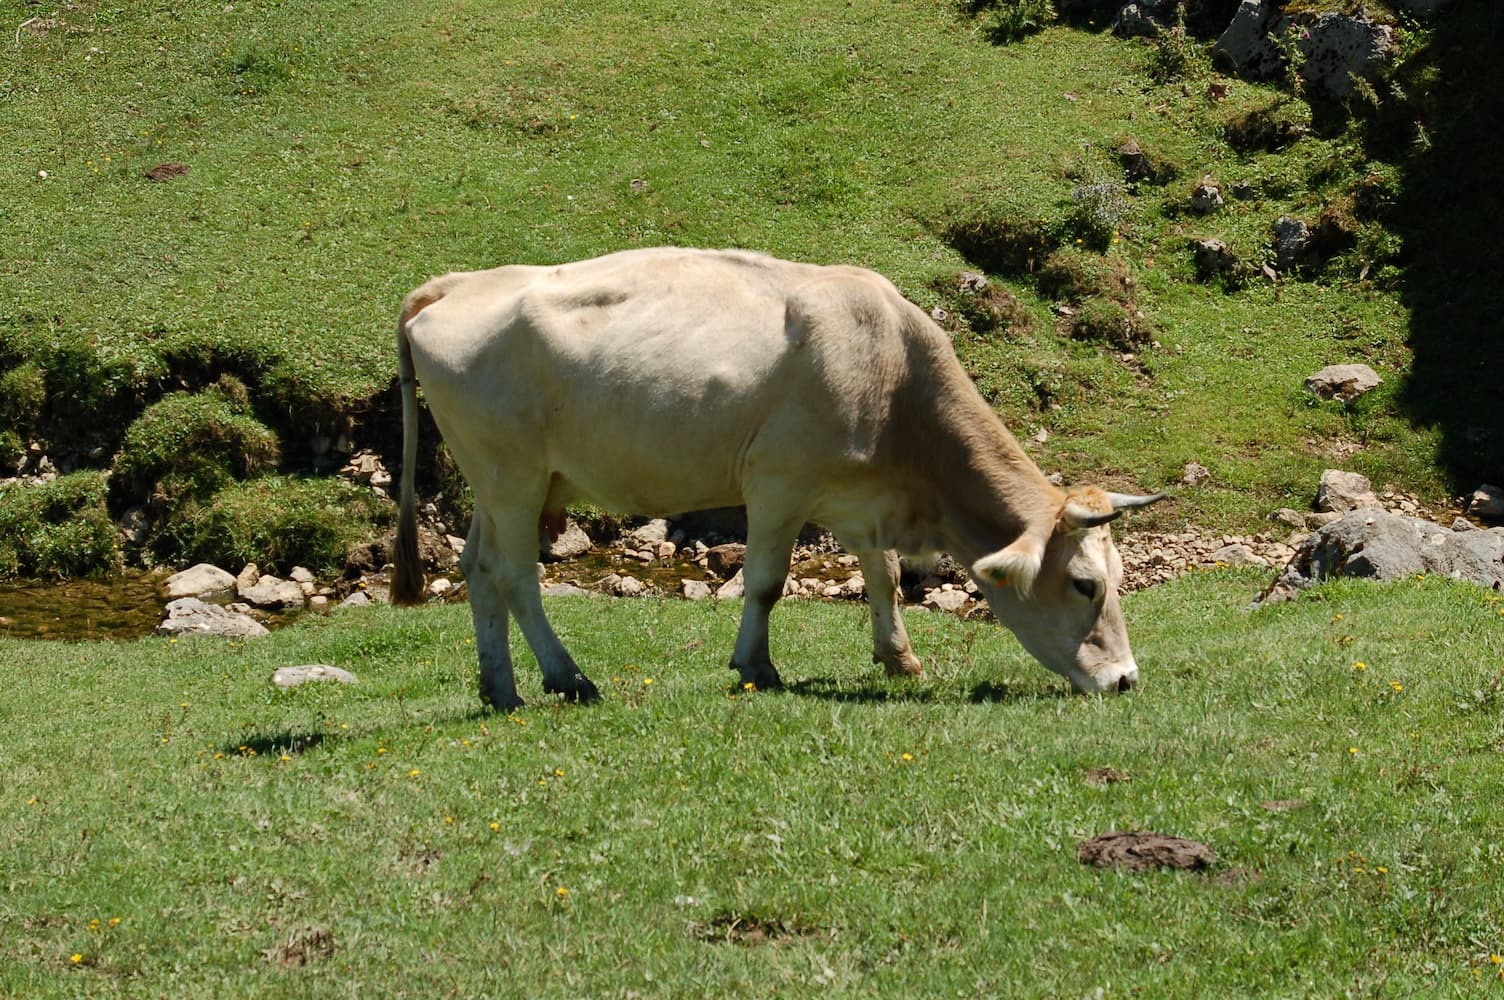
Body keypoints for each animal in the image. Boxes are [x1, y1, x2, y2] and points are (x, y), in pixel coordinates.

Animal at [391, 247, 1164, 710]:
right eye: (1084, 585)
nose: (1127, 679)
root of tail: (456, 284)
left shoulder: (857, 497)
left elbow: (884, 576)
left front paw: (899, 658)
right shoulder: (778, 484)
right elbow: (765, 583)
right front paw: (756, 667)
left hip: (501, 483)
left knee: (476, 568)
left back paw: (500, 688)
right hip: (512, 475)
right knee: (514, 574)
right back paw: (567, 677)